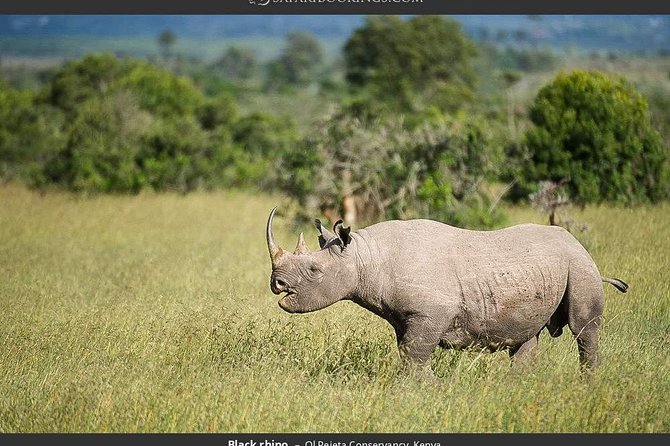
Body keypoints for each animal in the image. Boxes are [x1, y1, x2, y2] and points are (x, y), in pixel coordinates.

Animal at [265, 207, 628, 374]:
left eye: (314, 271)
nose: (276, 283)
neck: (366, 257)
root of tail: (578, 244)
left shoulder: (431, 312)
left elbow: (414, 356)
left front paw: (422, 391)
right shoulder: (405, 317)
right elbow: (410, 354)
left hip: (579, 265)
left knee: (583, 330)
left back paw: (587, 386)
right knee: (525, 338)